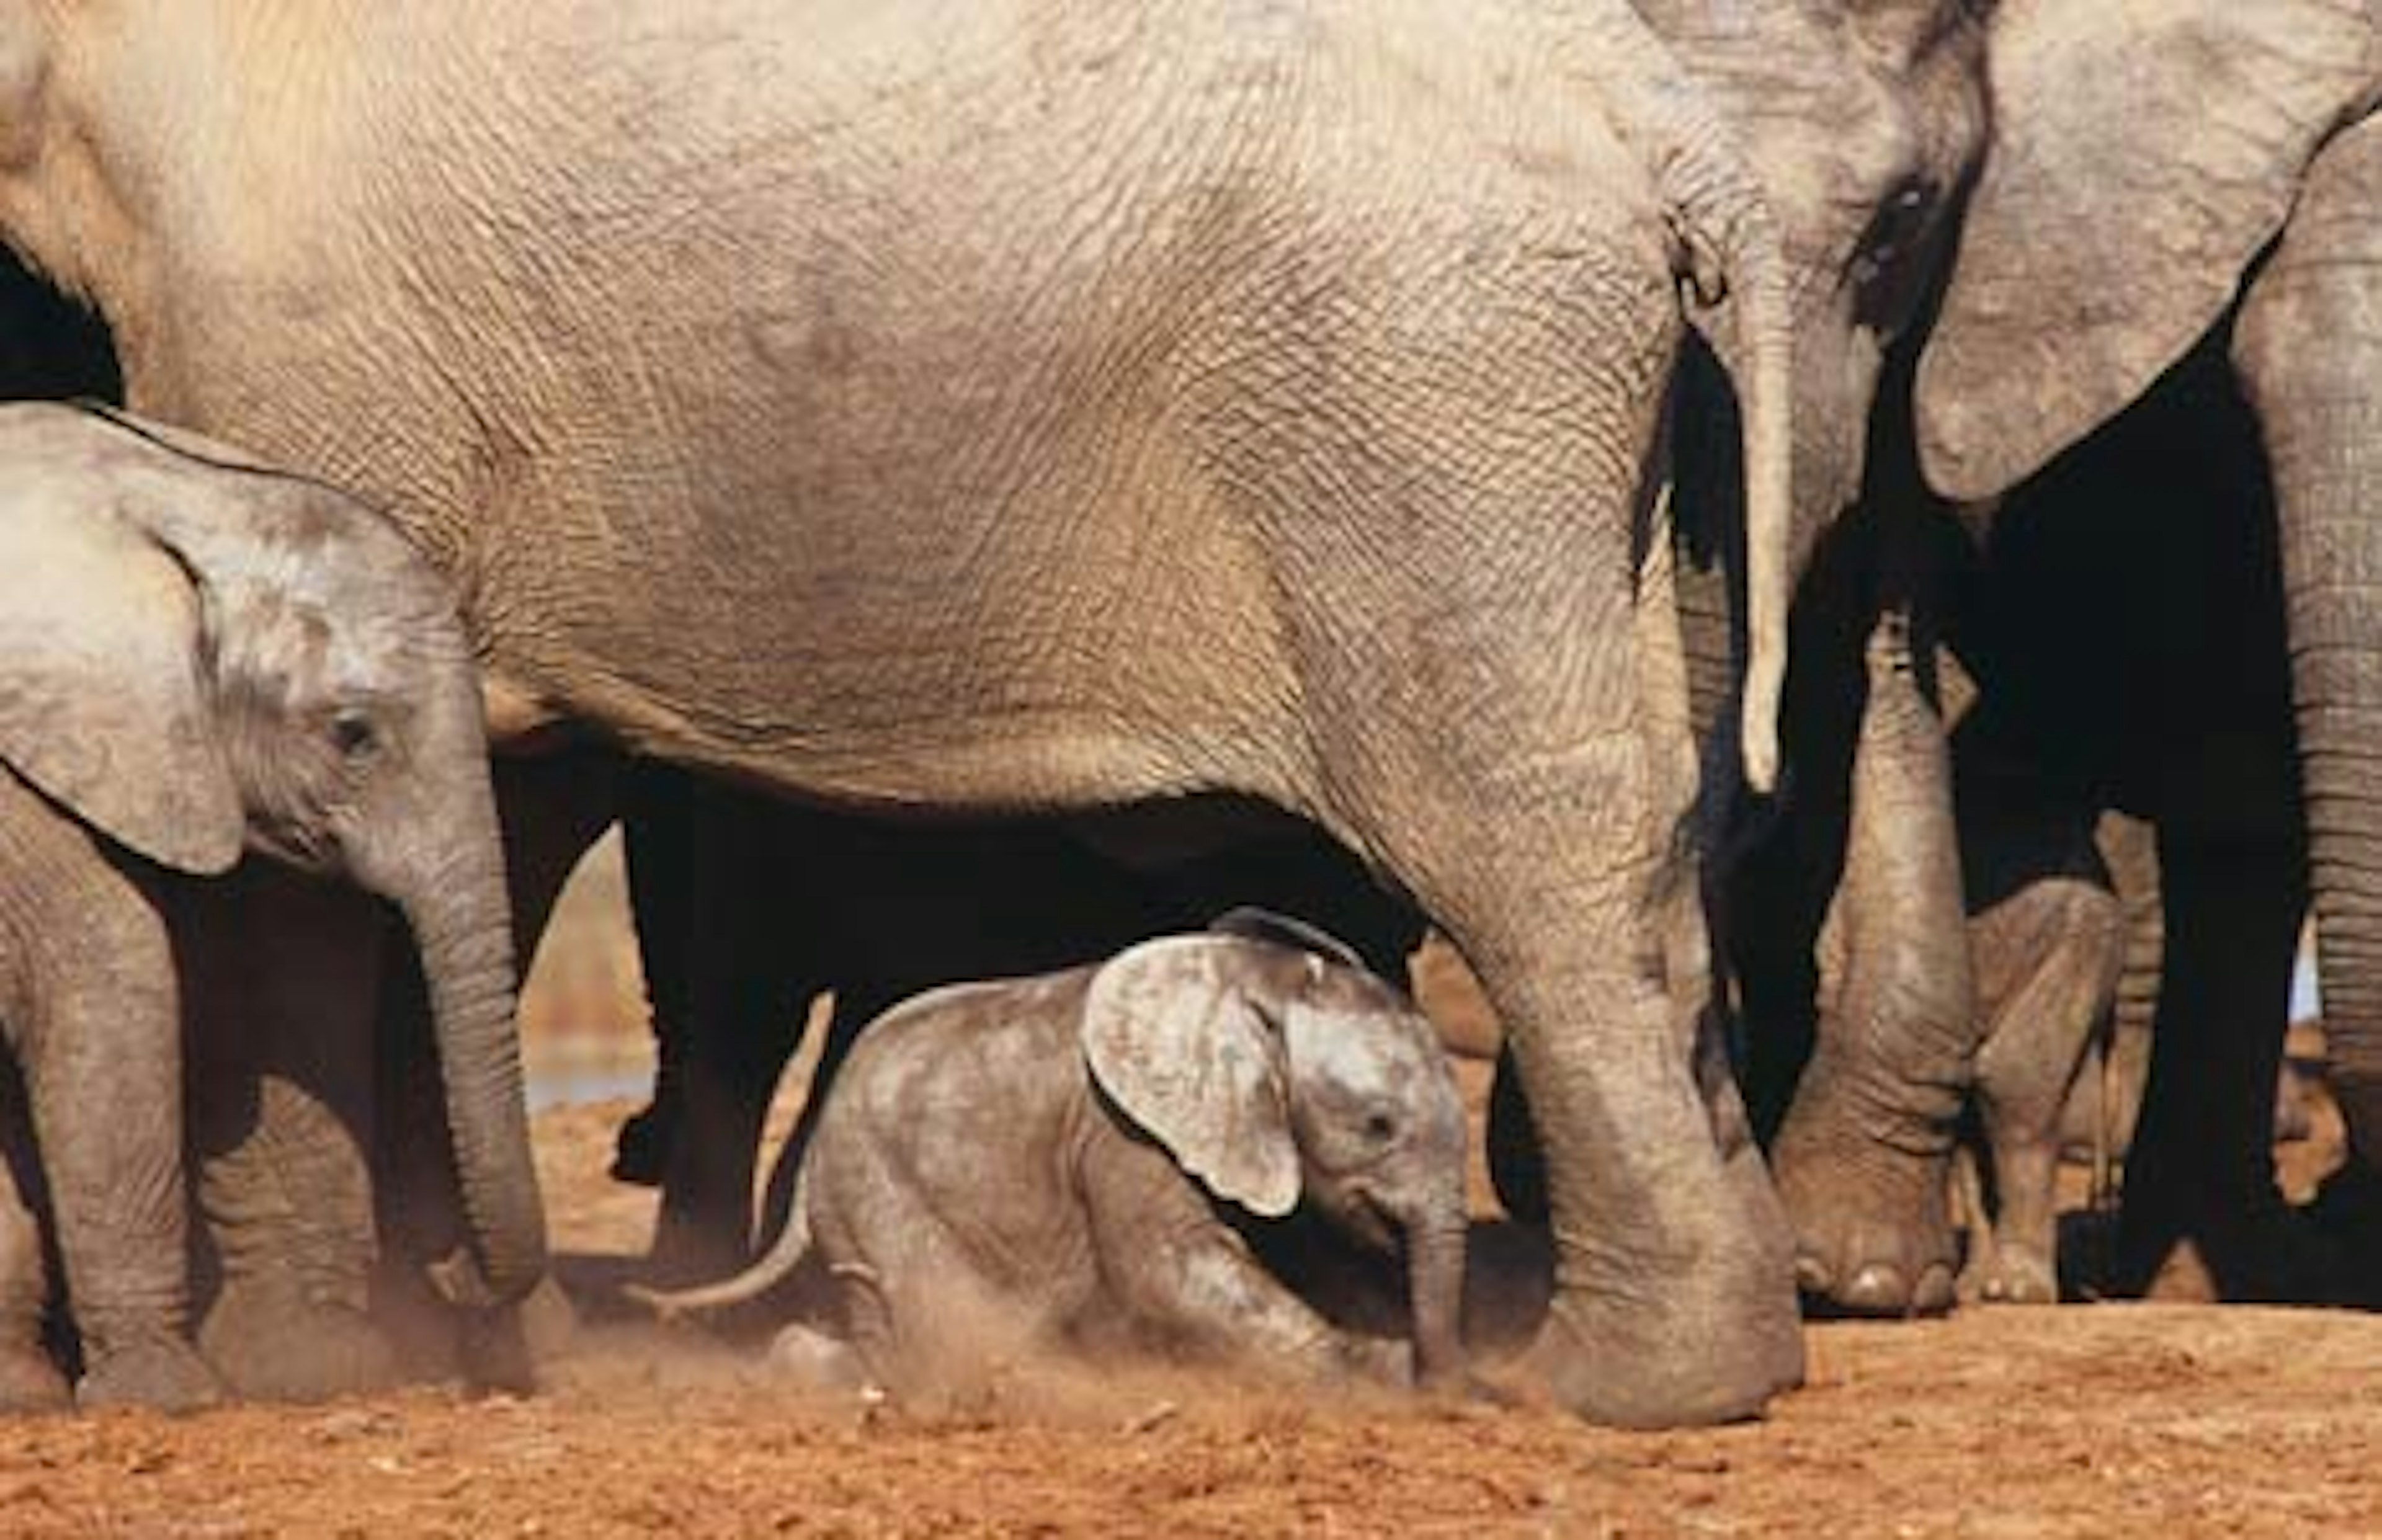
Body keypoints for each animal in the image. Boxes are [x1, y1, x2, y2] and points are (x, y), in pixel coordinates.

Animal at [643, 924, 1476, 1399]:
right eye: (1378, 1124)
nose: (1454, 1389)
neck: (1253, 976)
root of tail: (815, 1153)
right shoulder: (1124, 1130)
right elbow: (1169, 1265)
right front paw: (1370, 1373)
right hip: (878, 1185)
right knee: (943, 1320)